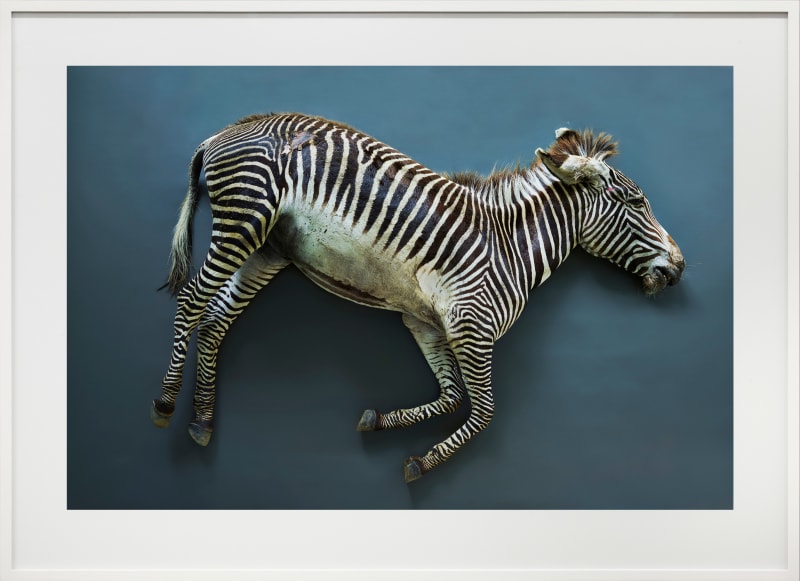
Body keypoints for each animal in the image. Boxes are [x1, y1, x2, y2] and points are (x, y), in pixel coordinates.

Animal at [151, 112, 685, 483]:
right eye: (637, 201)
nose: (679, 268)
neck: (511, 248)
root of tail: (225, 131)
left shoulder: (425, 323)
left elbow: (451, 398)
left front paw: (379, 421)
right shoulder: (471, 327)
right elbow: (483, 411)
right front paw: (422, 463)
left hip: (266, 248)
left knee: (215, 320)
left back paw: (202, 419)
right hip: (245, 218)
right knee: (191, 303)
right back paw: (166, 403)